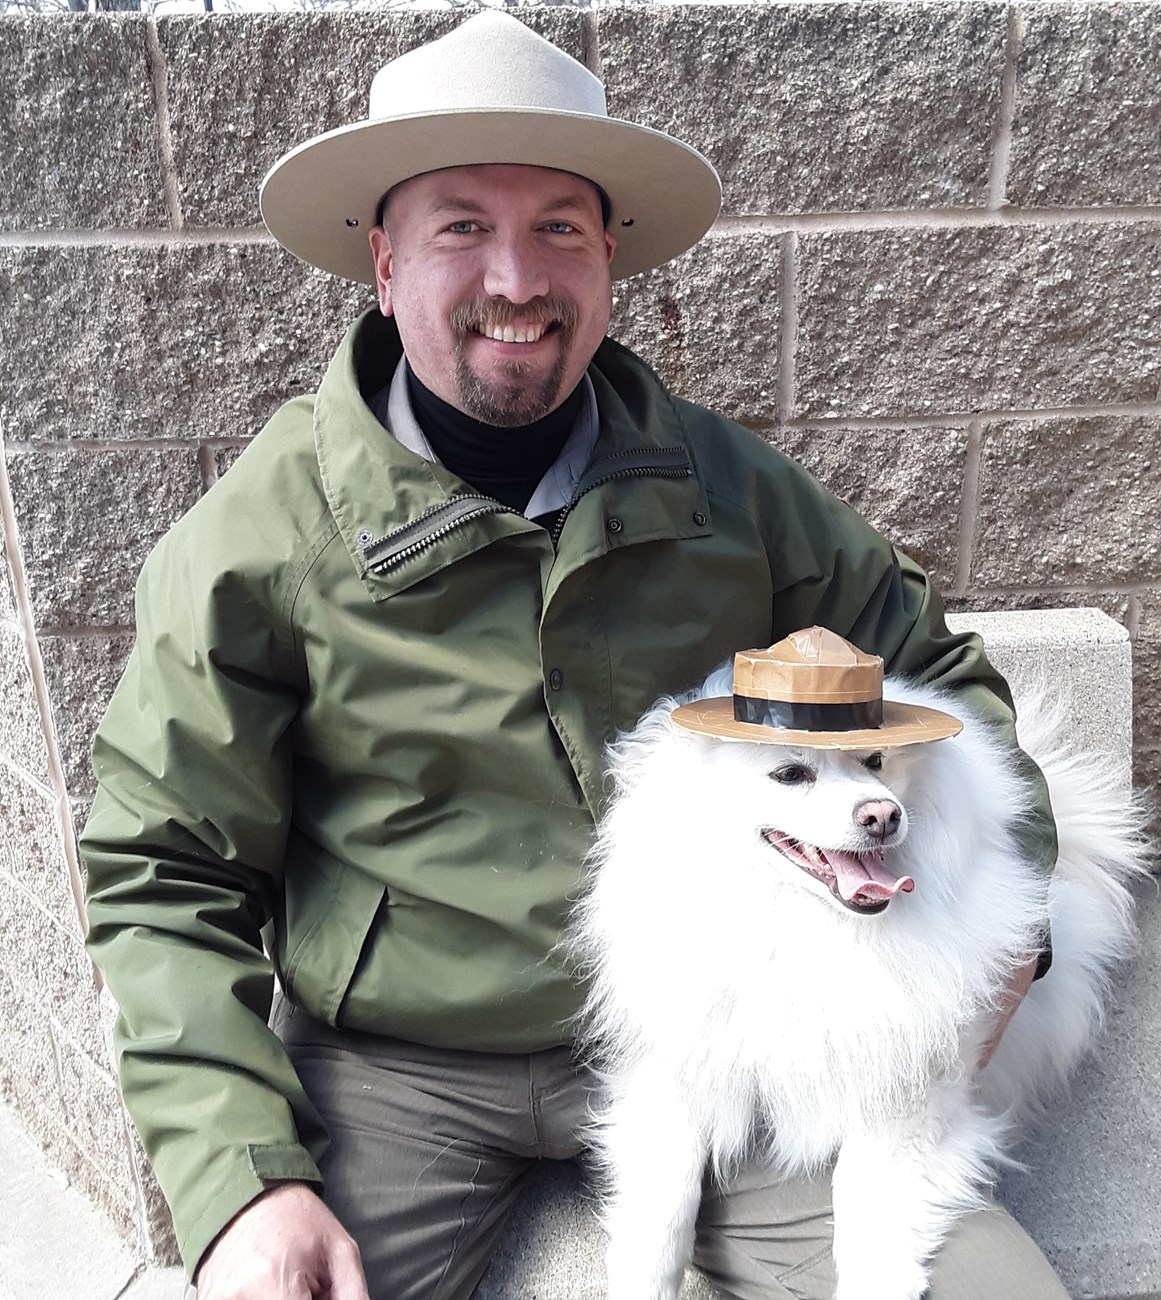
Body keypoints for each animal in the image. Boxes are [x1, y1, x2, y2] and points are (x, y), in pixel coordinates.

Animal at [566, 629, 1144, 1300]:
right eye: (790, 773)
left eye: (876, 761)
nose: (883, 815)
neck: (805, 930)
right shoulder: (677, 1068)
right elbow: (661, 1218)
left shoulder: (902, 1107)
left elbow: (867, 1232)